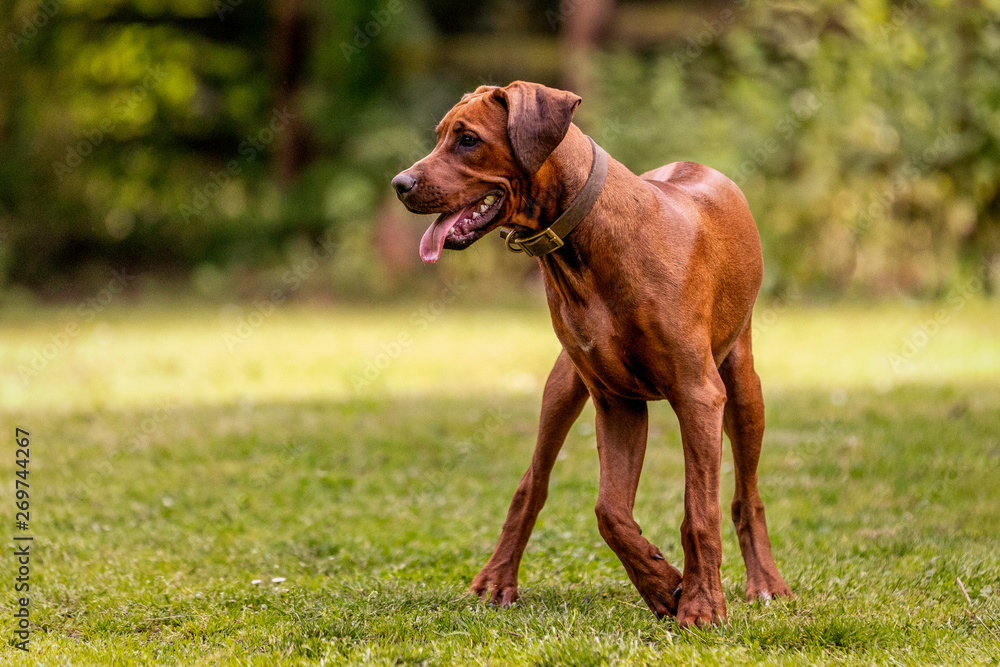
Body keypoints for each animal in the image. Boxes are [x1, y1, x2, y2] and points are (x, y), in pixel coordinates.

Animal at [390, 81, 788, 628]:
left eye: (467, 139)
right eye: (439, 137)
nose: (399, 184)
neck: (586, 241)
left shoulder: (698, 395)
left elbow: (699, 513)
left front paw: (701, 604)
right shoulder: (617, 402)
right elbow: (609, 513)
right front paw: (661, 582)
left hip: (743, 387)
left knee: (746, 495)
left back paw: (765, 582)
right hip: (563, 383)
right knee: (532, 482)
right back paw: (496, 578)